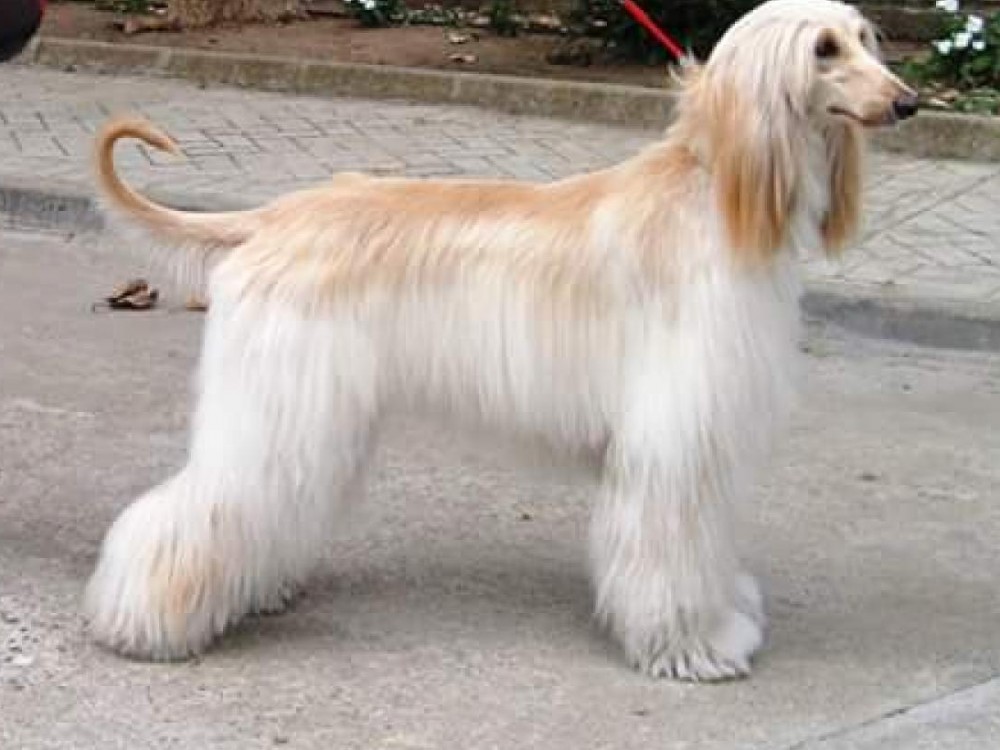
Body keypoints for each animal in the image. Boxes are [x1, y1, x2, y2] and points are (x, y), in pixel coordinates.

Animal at [85, 0, 917, 681]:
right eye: (823, 50)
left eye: (868, 38)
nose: (907, 102)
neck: (714, 197)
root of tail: (272, 216)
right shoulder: (675, 432)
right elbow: (669, 550)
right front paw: (694, 645)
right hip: (280, 402)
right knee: (200, 507)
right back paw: (144, 622)